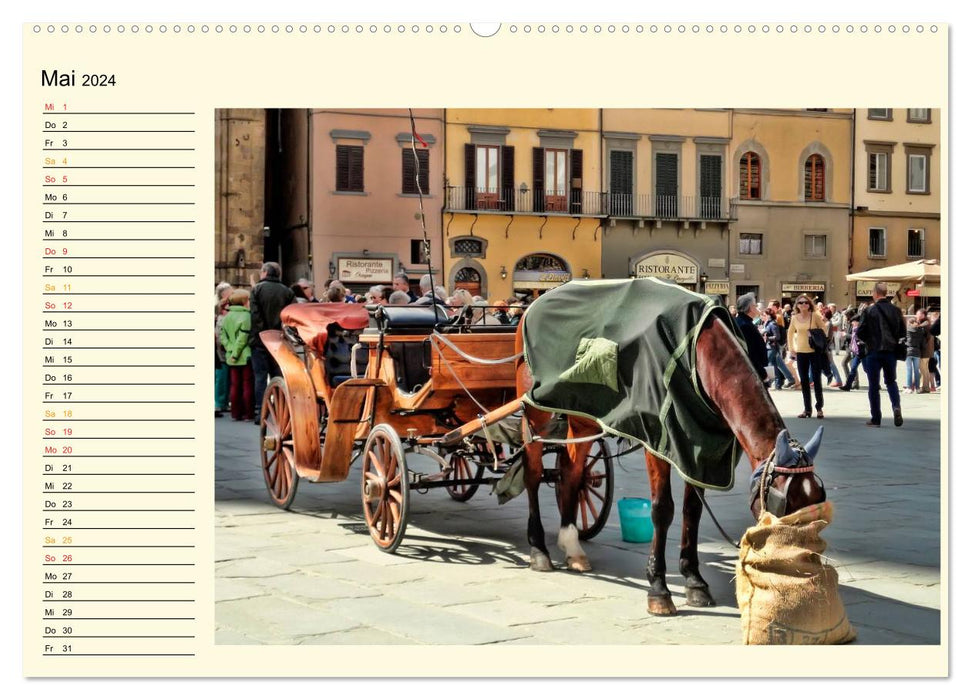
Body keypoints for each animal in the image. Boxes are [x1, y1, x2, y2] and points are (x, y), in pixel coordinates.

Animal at [512, 312, 824, 612]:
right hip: (536, 412)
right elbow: (662, 510)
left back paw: (572, 545)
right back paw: (539, 549)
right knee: (533, 473)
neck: (699, 353)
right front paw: (658, 589)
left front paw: (694, 581)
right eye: (784, 505)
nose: (802, 571)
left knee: (571, 472)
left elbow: (692, 511)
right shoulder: (657, 441)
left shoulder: (698, 451)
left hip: (582, 415)